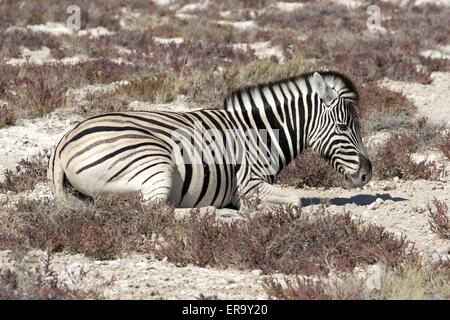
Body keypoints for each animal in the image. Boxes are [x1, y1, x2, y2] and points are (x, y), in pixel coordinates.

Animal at [48, 71, 372, 209]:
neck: (261, 134)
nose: (367, 174)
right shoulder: (248, 183)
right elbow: (296, 199)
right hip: (155, 164)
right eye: (344, 126)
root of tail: (64, 141)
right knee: (153, 211)